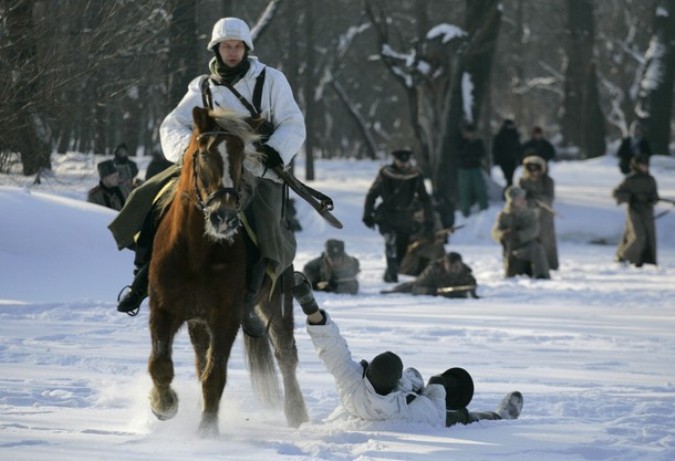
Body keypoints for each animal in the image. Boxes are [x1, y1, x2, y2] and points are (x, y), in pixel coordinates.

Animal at [148, 107, 308, 434]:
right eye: (203, 154)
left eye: (241, 156)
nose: (224, 217)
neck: (196, 252)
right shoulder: (163, 309)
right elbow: (160, 364)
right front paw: (164, 404)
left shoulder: (226, 316)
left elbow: (215, 375)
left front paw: (207, 432)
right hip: (197, 320)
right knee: (199, 358)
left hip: (273, 301)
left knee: (285, 353)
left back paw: (296, 411)